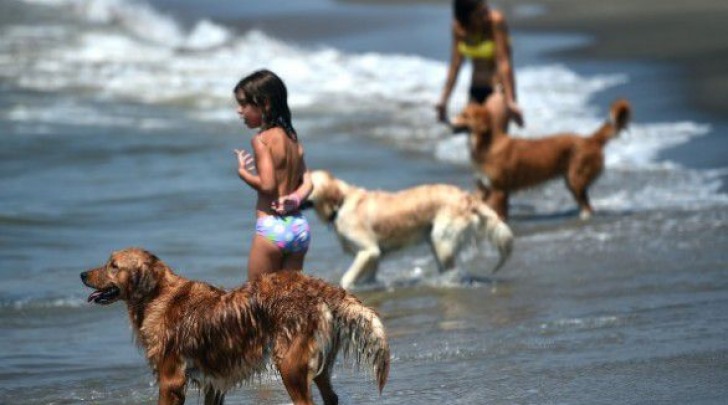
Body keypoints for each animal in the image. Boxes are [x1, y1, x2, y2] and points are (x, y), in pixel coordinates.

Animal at [79, 246, 390, 404]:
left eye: (113, 266)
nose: (82, 274)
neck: (157, 295)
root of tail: (320, 287)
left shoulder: (171, 381)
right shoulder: (213, 383)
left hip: (290, 365)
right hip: (318, 368)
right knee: (331, 397)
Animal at [304, 169, 516, 288]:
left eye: (302, 181)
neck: (340, 202)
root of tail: (468, 198)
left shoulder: (368, 250)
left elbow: (346, 278)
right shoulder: (375, 256)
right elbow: (369, 276)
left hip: (441, 240)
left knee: (452, 271)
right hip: (435, 241)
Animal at [464, 98, 628, 219]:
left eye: (464, 116)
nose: (455, 122)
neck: (487, 145)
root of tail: (590, 139)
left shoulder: (499, 190)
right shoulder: (485, 187)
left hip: (576, 179)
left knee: (587, 205)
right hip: (571, 181)